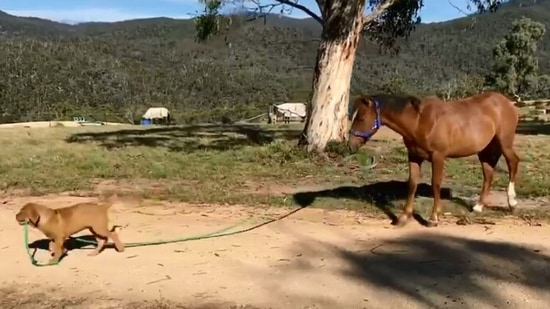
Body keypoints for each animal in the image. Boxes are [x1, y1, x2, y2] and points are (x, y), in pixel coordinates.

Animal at [350, 91, 520, 226]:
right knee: (488, 174)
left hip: (504, 143)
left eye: (361, 118)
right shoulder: (414, 156)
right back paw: (478, 207)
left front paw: (433, 218)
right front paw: (404, 217)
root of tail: (507, 102)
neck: (419, 122)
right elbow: (412, 183)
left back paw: (512, 202)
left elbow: (435, 183)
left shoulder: (438, 156)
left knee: (513, 163)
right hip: (484, 150)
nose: (351, 145)